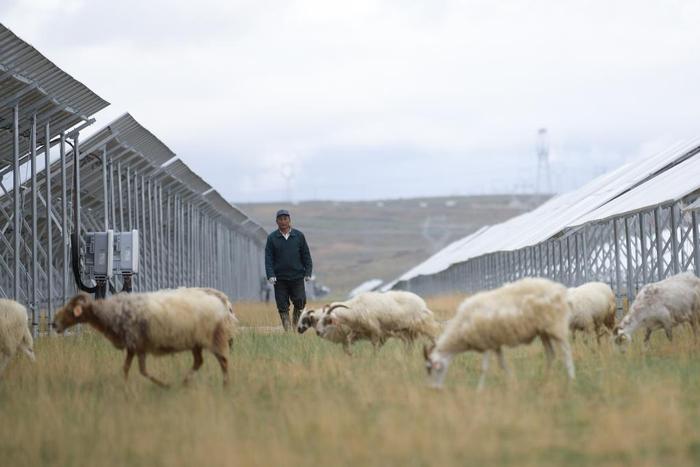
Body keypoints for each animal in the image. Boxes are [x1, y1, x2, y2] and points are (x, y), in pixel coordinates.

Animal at [52, 288, 238, 388]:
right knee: (199, 361)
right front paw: (127, 387)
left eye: (70, 309)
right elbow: (132, 369)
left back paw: (225, 386)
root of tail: (223, 304)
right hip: (196, 342)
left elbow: (138, 370)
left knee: (224, 361)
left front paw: (164, 385)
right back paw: (184, 382)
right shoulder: (135, 347)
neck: (110, 312)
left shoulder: (135, 343)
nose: (54, 323)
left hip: (214, 337)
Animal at [304, 292, 438, 354]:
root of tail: (422, 302)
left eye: (328, 320)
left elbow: (375, 347)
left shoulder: (375, 331)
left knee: (433, 337)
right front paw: (350, 355)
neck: (355, 309)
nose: (318, 332)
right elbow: (348, 343)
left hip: (423, 325)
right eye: (318, 320)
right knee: (409, 344)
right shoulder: (357, 332)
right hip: (407, 331)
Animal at [422, 278, 576, 392]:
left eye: (431, 368)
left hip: (556, 325)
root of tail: (560, 290)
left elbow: (484, 369)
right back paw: (545, 380)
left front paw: (479, 390)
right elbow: (502, 364)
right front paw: (513, 381)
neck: (460, 329)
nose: (434, 389)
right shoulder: (495, 344)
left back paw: (571, 380)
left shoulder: (486, 342)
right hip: (543, 331)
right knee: (551, 354)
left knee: (566, 352)